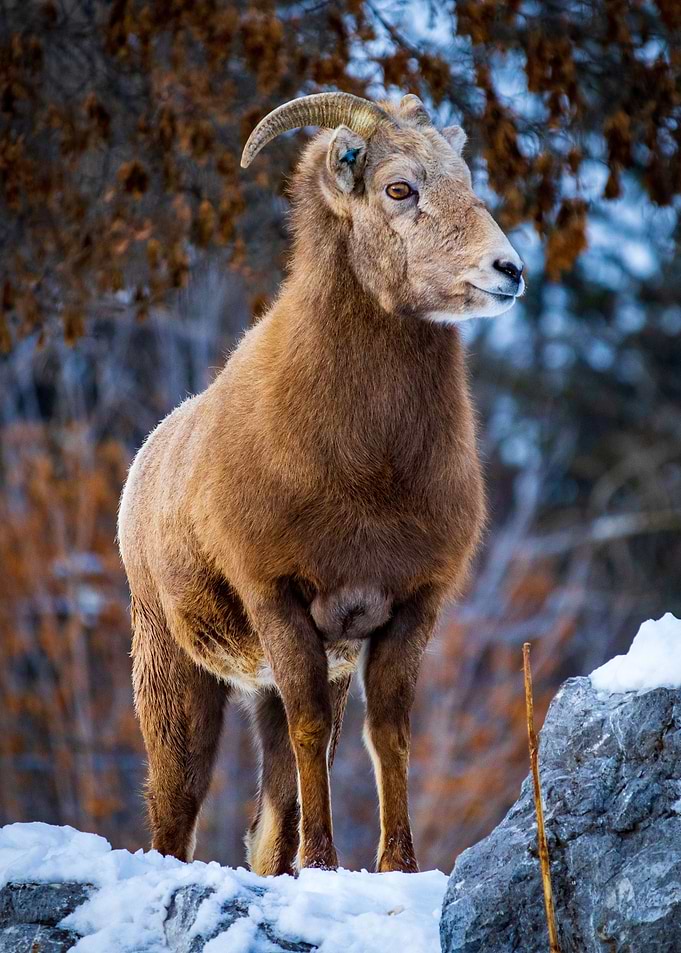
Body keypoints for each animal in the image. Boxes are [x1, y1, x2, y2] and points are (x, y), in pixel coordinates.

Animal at [118, 91, 524, 876]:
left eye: (466, 179)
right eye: (399, 188)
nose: (509, 270)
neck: (370, 472)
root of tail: (142, 468)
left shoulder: (407, 608)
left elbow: (387, 735)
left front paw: (396, 865)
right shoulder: (280, 602)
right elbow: (312, 734)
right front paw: (325, 862)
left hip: (260, 685)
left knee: (265, 820)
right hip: (175, 672)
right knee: (176, 802)